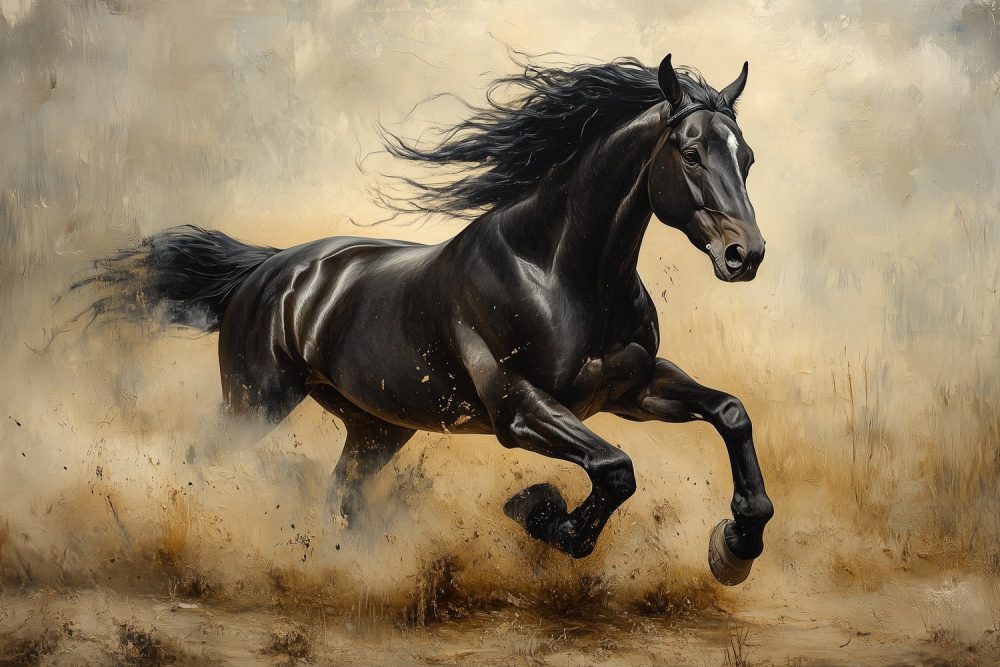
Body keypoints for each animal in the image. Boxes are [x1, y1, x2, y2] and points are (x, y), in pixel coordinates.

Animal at [83, 53, 773, 586]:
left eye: (747, 157)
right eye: (690, 153)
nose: (746, 255)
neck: (558, 272)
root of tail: (267, 271)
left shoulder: (629, 390)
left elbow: (730, 412)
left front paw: (737, 544)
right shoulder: (520, 409)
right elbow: (615, 470)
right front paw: (539, 512)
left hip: (376, 429)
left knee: (342, 496)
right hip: (255, 402)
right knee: (201, 459)